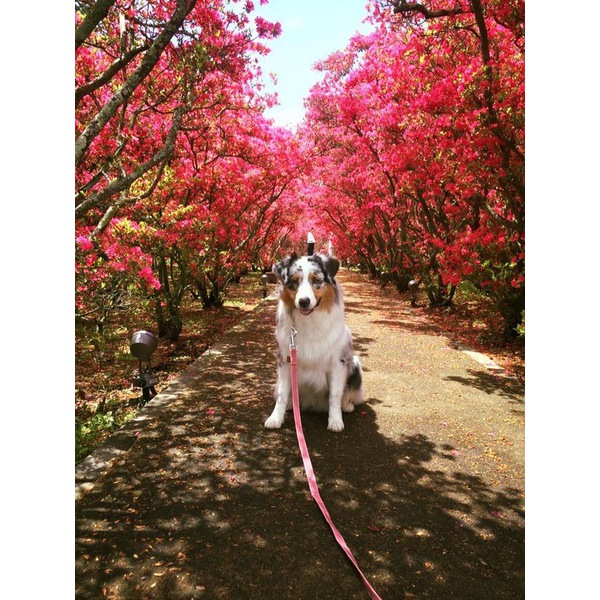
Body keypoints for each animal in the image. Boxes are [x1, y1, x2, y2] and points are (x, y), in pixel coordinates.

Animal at [264, 253, 364, 432]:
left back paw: (346, 405)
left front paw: (335, 421)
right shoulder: (286, 360)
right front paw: (275, 418)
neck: (309, 319)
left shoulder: (338, 362)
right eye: (294, 281)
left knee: (345, 394)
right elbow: (282, 393)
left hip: (355, 363)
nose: (303, 301)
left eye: (316, 280)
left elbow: (335, 395)